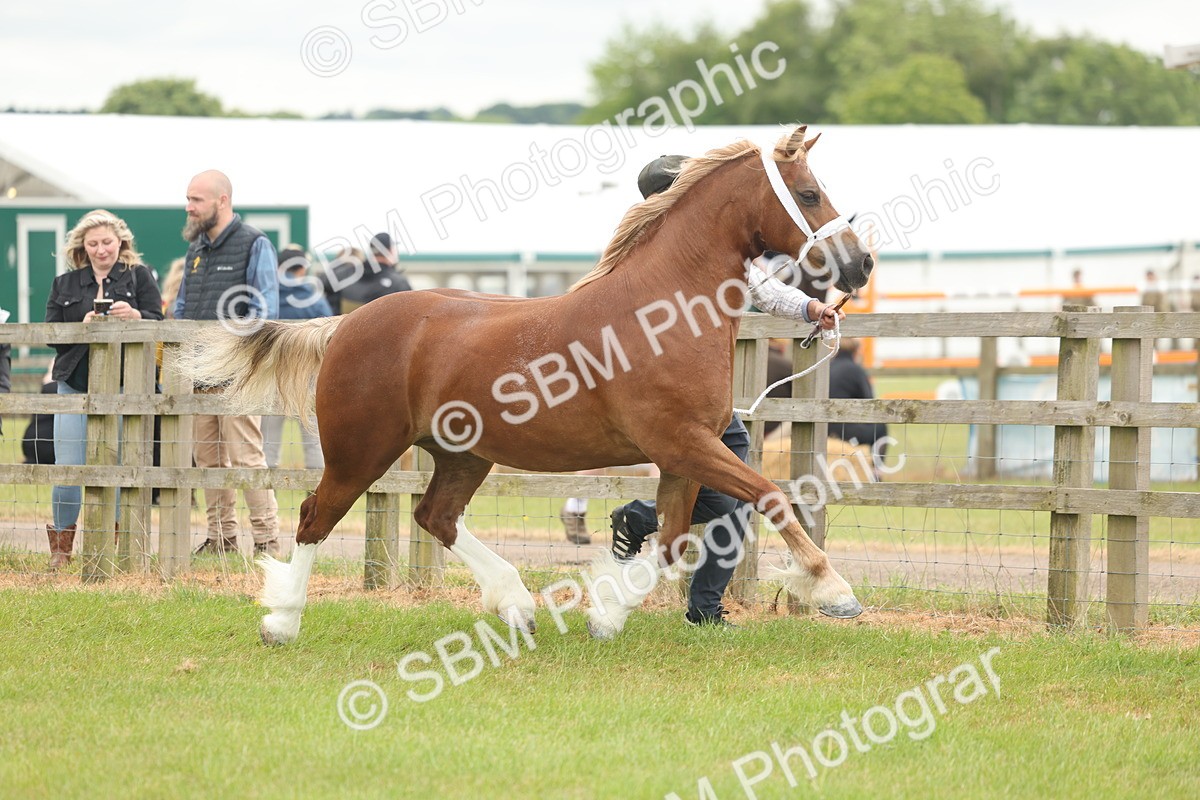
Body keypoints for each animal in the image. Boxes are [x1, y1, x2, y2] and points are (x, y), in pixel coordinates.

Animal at [176, 125, 875, 644]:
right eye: (809, 193)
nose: (861, 265)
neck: (662, 311)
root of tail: (347, 321)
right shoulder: (683, 443)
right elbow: (771, 496)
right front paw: (833, 590)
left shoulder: (684, 454)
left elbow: (673, 542)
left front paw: (606, 613)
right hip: (359, 452)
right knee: (313, 519)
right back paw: (282, 622)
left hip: (461, 454)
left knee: (435, 516)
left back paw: (516, 603)